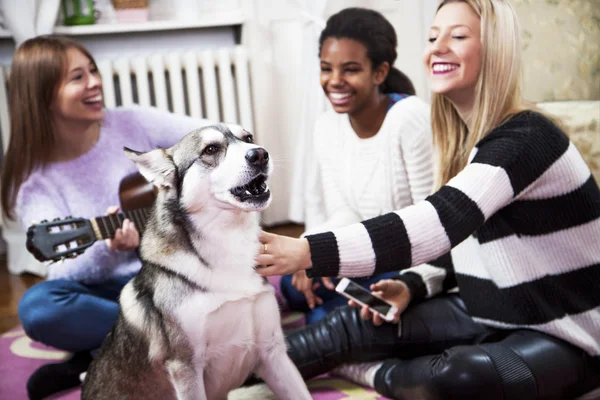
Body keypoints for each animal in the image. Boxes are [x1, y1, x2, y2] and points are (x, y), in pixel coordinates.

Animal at [82, 125, 312, 400]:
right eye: (210, 149)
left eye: (248, 138)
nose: (260, 154)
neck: (230, 241)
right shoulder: (185, 368)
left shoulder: (273, 353)